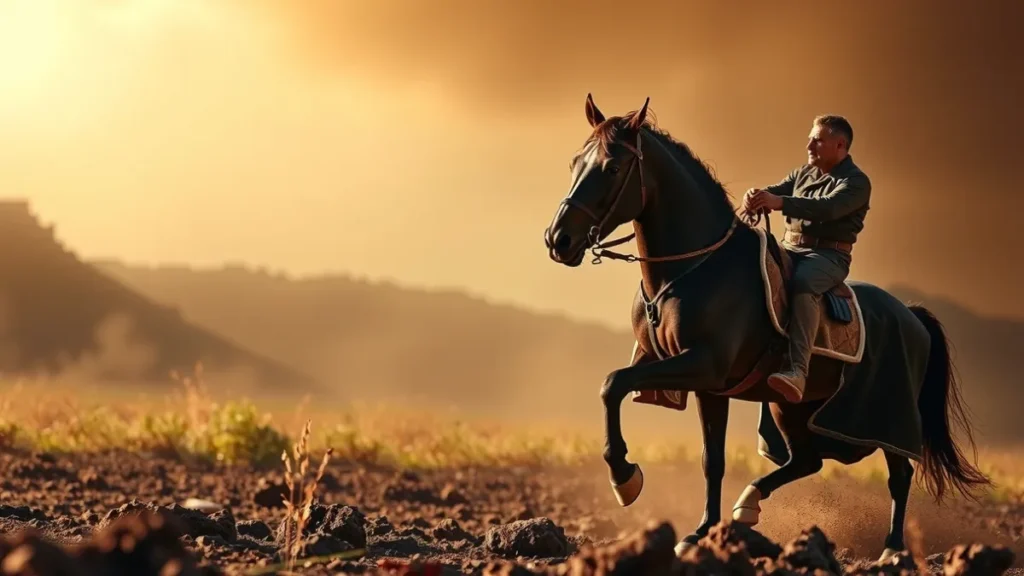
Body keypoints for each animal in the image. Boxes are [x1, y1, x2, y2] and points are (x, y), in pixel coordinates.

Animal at [542, 94, 992, 561]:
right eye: (575, 162)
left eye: (612, 167)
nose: (558, 240)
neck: (693, 270)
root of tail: (911, 315)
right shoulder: (705, 385)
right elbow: (710, 458)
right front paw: (700, 532)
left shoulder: (702, 365)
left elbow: (614, 384)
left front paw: (625, 478)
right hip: (791, 407)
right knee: (808, 460)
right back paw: (749, 505)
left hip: (883, 417)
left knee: (898, 474)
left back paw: (892, 550)